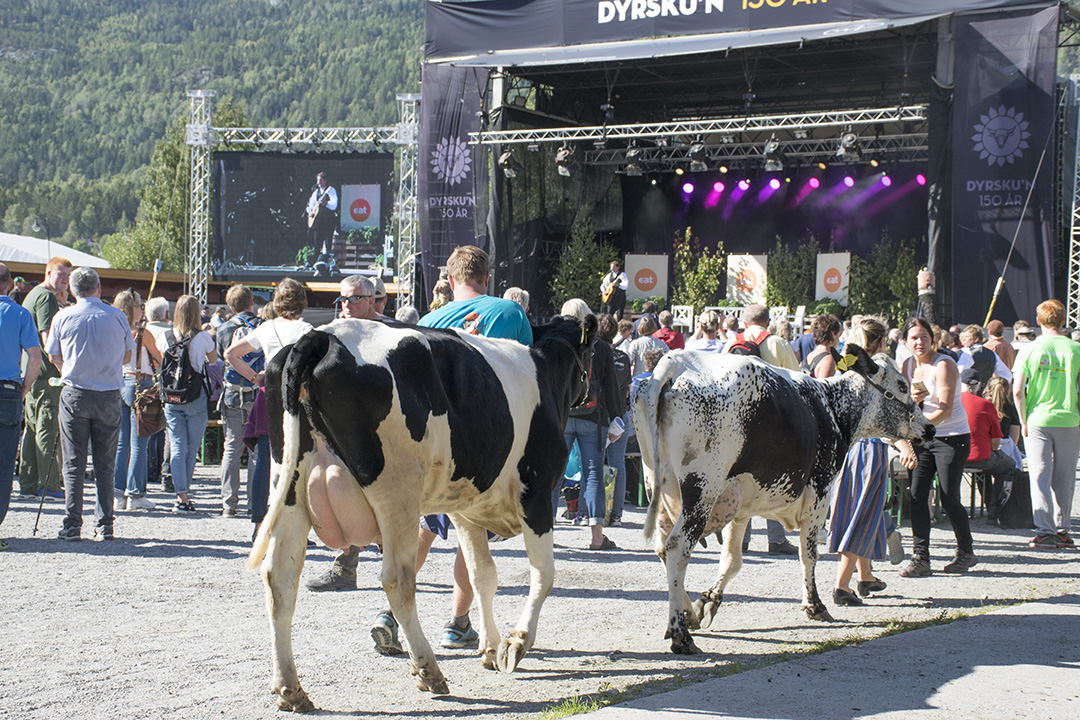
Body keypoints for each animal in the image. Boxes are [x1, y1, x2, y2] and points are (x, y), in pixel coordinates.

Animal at [247, 315, 596, 712]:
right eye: (592, 354)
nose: (591, 397)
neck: (544, 370)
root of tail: (324, 336)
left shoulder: (465, 510)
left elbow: (482, 576)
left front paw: (491, 648)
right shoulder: (536, 494)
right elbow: (544, 575)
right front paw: (516, 643)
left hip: (290, 487)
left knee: (280, 580)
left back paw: (290, 688)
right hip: (397, 491)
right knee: (397, 580)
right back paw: (429, 671)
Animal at [632, 345, 934, 655]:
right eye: (902, 385)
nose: (930, 428)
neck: (833, 408)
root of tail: (675, 362)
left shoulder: (740, 504)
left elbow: (732, 560)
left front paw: (708, 601)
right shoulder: (820, 493)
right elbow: (808, 553)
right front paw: (815, 605)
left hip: (661, 485)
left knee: (662, 547)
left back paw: (687, 616)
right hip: (702, 490)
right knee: (678, 547)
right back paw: (680, 634)